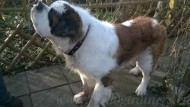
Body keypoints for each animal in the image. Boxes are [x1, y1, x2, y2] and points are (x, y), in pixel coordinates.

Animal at [30, 0, 166, 106]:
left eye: (51, 14)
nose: (38, 3)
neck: (82, 40)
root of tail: (156, 22)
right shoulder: (84, 73)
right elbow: (86, 86)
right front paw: (82, 96)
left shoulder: (105, 77)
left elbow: (95, 98)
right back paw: (136, 70)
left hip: (147, 57)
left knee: (147, 74)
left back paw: (141, 88)